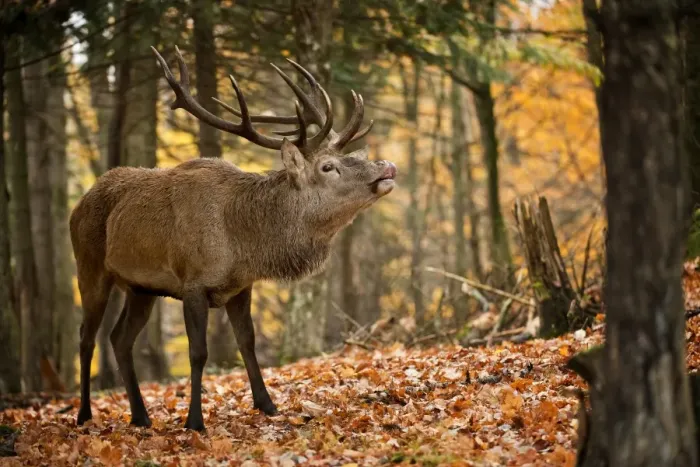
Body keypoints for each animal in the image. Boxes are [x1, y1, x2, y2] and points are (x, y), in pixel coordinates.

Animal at [69, 45, 397, 432]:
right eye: (328, 167)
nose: (386, 167)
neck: (242, 242)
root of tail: (78, 205)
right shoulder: (193, 282)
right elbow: (199, 352)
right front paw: (195, 421)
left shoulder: (241, 286)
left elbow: (248, 343)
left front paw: (268, 406)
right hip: (89, 268)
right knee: (86, 337)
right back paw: (84, 414)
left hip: (141, 288)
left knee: (119, 339)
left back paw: (140, 416)